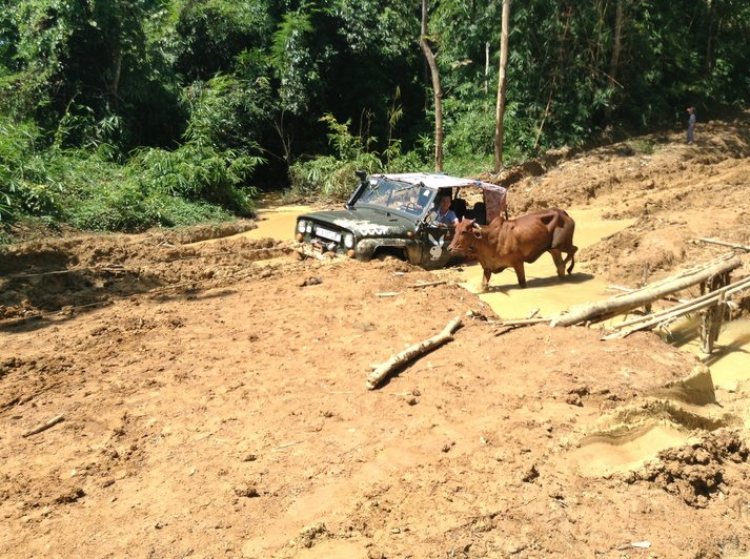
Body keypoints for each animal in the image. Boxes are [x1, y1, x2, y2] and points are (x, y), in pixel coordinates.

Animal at [450, 208, 580, 290]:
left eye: (464, 231)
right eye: (455, 230)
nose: (449, 248)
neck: (487, 240)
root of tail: (563, 213)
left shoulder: (518, 263)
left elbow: (522, 283)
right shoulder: (487, 268)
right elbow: (484, 285)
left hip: (560, 244)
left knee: (573, 250)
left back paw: (567, 268)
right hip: (554, 250)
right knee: (561, 264)